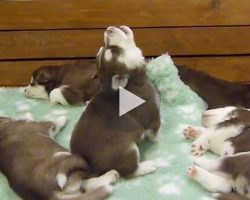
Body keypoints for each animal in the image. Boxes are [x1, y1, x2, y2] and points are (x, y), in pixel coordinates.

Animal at [70, 26, 160, 177]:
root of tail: (92, 168)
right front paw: (154, 139)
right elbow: (154, 132)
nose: (108, 29)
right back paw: (147, 166)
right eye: (114, 51)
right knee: (129, 171)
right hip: (129, 150)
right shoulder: (153, 117)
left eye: (103, 48)